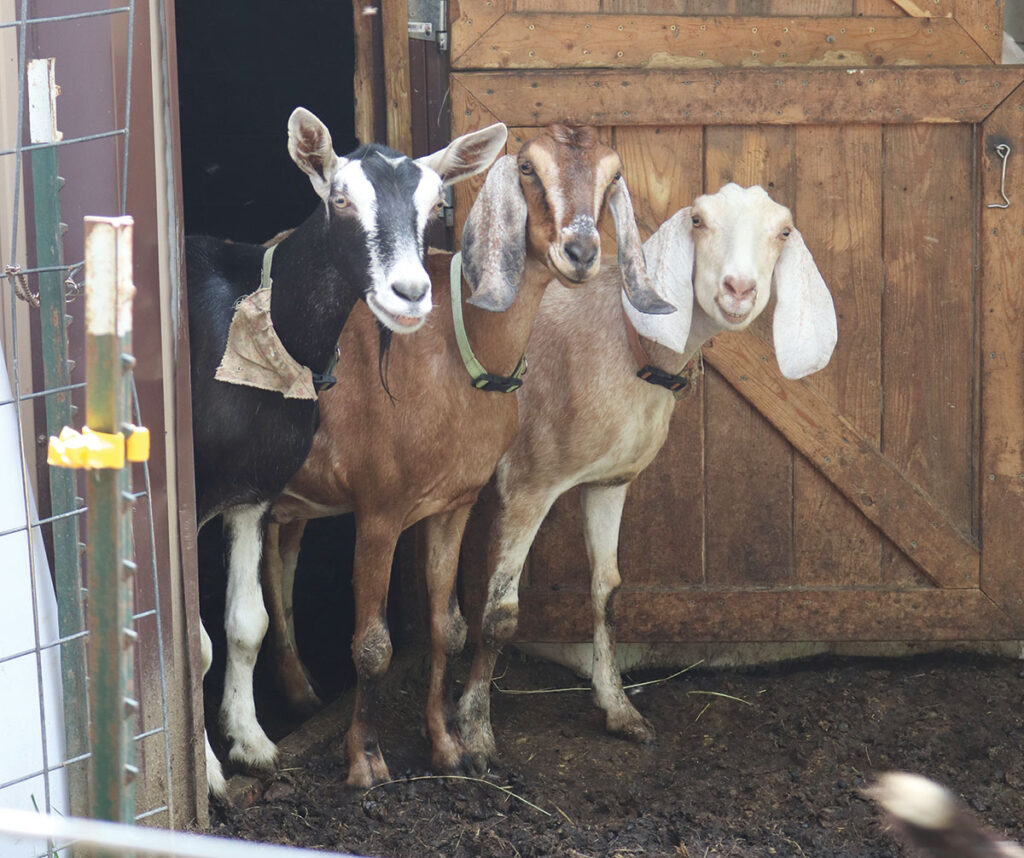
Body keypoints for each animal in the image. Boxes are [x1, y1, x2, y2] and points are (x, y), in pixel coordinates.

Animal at [186, 109, 505, 798]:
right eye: (339, 198)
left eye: (435, 205)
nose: (409, 292)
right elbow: (190, 644)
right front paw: (212, 778)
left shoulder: (253, 491)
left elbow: (244, 624)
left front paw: (252, 746)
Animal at [260, 124, 671, 790]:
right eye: (528, 170)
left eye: (613, 176)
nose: (581, 250)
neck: (449, 352)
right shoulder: (379, 511)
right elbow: (372, 645)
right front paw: (367, 761)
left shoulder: (453, 502)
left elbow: (448, 629)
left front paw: (447, 747)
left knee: (277, 563)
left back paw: (298, 692)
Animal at [458, 183, 839, 774]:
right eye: (698, 220)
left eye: (783, 231)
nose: (739, 289)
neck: (623, 344)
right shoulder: (527, 481)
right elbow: (499, 611)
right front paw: (475, 735)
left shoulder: (610, 480)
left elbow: (608, 591)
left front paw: (618, 710)